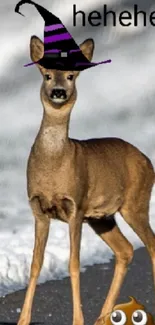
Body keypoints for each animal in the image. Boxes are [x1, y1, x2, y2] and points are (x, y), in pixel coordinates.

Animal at [16, 35, 155, 324]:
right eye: (47, 75)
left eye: (70, 75)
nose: (59, 91)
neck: (54, 165)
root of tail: (147, 160)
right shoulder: (38, 209)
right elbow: (36, 264)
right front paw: (23, 319)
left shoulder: (76, 207)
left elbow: (74, 264)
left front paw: (76, 319)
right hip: (102, 217)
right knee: (125, 250)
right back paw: (102, 317)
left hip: (135, 203)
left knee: (151, 245)